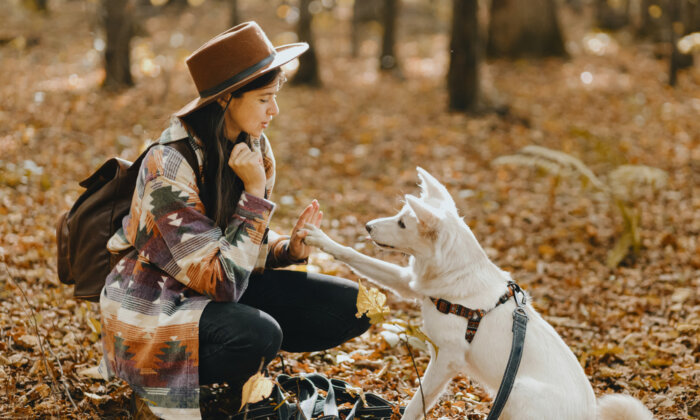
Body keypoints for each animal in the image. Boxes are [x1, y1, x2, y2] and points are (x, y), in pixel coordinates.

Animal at [304, 167, 652, 420]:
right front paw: (320, 239)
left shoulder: (447, 360)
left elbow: (416, 404)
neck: (458, 273)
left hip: (517, 393)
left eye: (403, 223)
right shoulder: (409, 283)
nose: (367, 226)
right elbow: (355, 256)